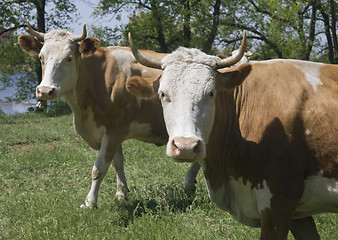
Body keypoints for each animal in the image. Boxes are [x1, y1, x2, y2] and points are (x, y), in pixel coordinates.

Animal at [17, 21, 201, 208]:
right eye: (41, 57)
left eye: (68, 58)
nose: (45, 91)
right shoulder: (111, 133)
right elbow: (117, 162)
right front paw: (121, 193)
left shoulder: (114, 131)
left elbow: (98, 169)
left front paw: (90, 202)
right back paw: (189, 184)